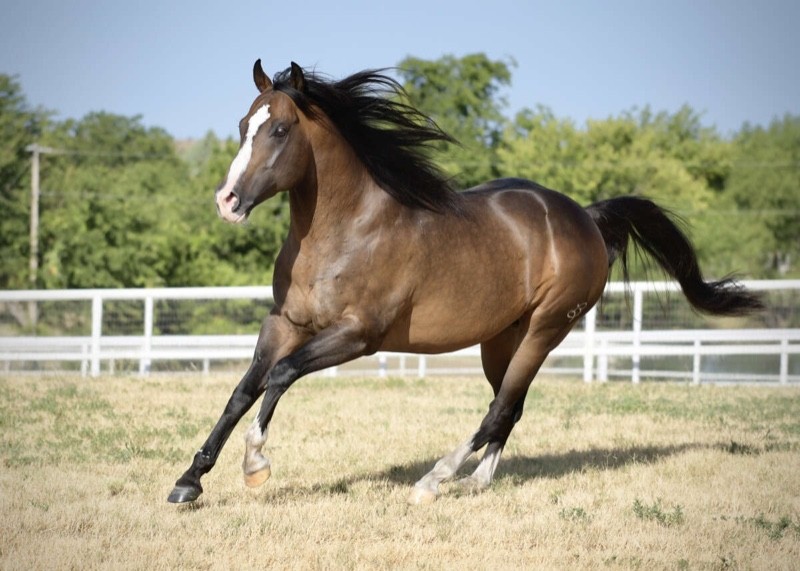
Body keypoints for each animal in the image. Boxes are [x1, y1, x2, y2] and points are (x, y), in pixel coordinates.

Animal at [166, 59, 760, 504]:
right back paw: (477, 480)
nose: (227, 201)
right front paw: (189, 482)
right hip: (501, 339)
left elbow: (281, 376)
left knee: (499, 409)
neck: (347, 230)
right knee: (510, 407)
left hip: (546, 329)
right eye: (243, 126)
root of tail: (586, 218)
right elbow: (243, 390)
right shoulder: (284, 322)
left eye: (280, 129)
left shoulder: (358, 336)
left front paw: (255, 464)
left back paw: (436, 479)